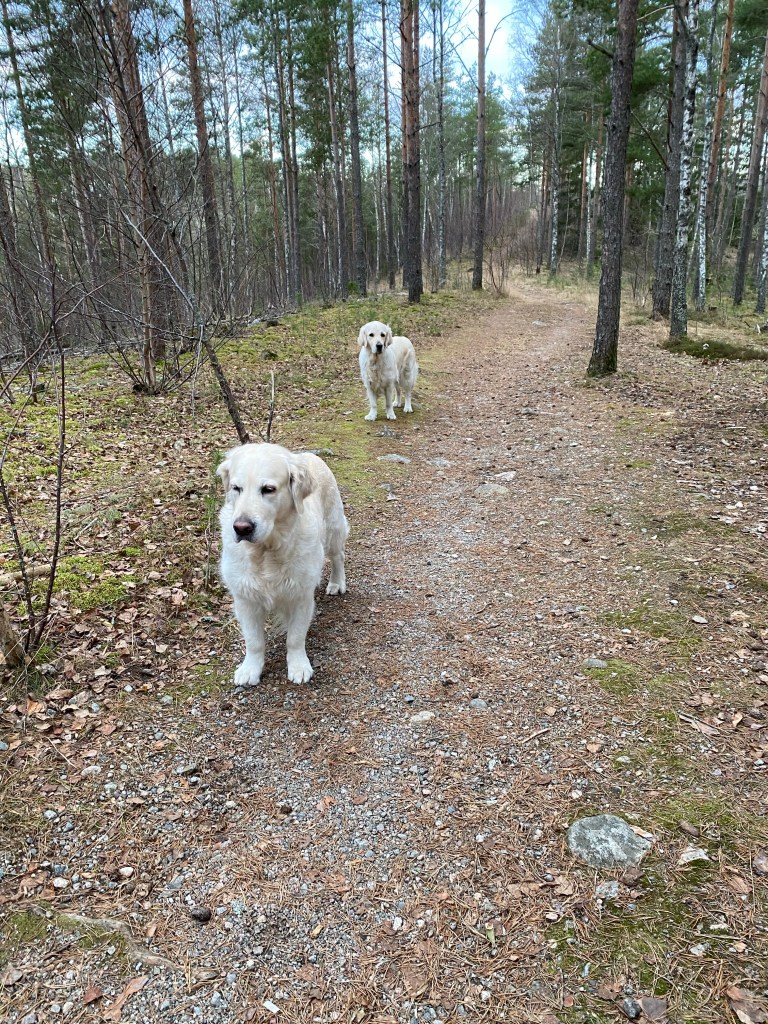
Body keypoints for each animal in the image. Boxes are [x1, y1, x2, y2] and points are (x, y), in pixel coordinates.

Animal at [217, 443, 348, 686]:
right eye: (236, 488)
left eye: (268, 489)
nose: (241, 528)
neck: (266, 552)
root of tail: (308, 455)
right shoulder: (245, 598)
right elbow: (254, 641)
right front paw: (250, 669)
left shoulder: (301, 595)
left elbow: (295, 638)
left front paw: (298, 666)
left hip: (334, 529)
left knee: (338, 556)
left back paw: (337, 583)